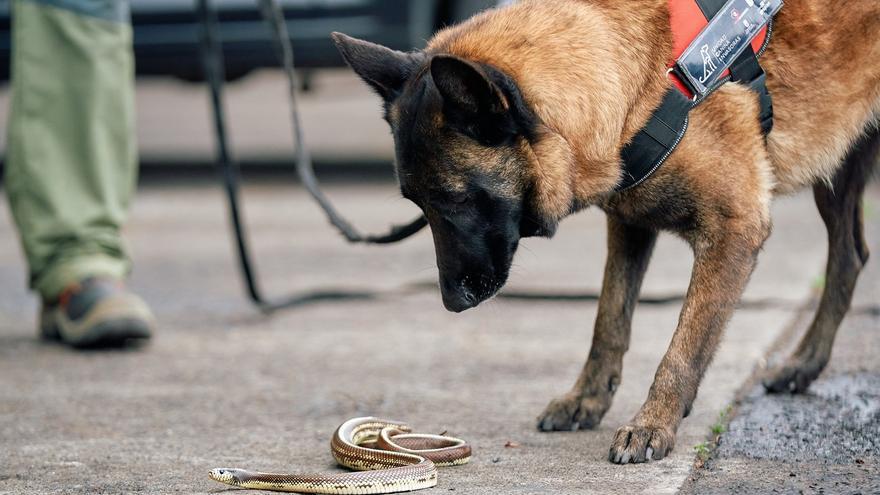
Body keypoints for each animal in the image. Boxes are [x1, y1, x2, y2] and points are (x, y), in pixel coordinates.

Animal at [332, 0, 880, 464]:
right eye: (417, 205)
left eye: (457, 199)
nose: (451, 302)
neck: (646, 80)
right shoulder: (630, 223)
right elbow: (609, 320)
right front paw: (587, 399)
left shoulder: (733, 230)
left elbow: (683, 349)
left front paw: (653, 423)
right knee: (850, 256)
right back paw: (805, 364)